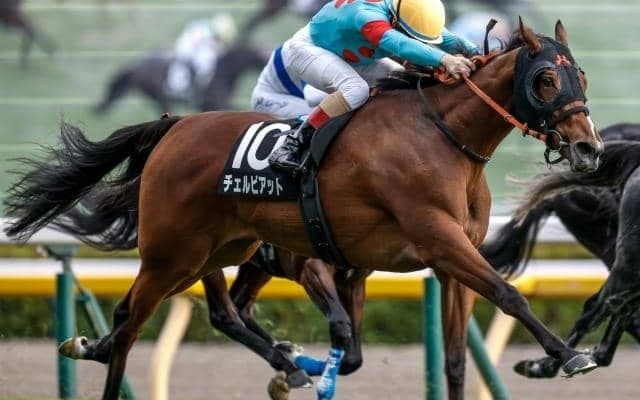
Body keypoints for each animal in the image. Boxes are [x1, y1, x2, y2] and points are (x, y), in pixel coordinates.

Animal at [93, 44, 269, 114]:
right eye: (263, 57)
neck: (223, 70)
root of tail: (137, 66)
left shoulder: (209, 105)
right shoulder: (217, 102)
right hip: (160, 97)